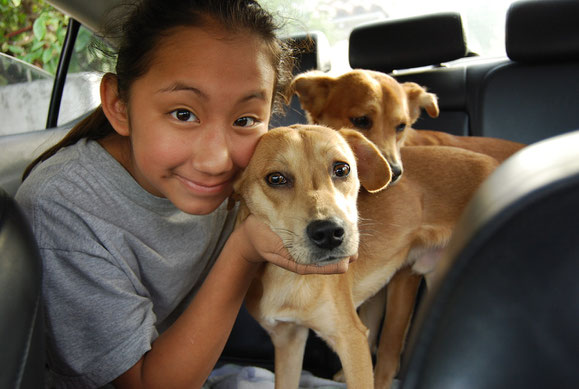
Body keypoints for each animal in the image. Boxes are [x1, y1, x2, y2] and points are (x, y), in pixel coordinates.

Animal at [236, 124, 498, 388]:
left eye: (342, 169)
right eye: (276, 178)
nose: (329, 233)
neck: (287, 277)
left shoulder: (351, 339)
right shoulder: (287, 339)